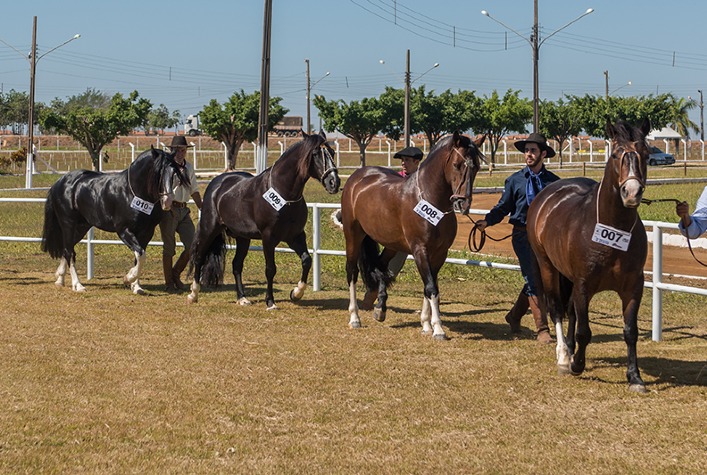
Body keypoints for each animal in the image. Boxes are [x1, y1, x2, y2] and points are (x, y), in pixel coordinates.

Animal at [40, 147, 187, 294]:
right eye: (158, 172)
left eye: (174, 173)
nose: (168, 201)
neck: (131, 191)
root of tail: (59, 182)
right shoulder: (124, 231)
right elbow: (140, 254)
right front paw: (128, 278)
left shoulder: (146, 232)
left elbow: (139, 257)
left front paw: (136, 287)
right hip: (68, 224)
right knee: (70, 252)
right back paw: (78, 285)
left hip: (81, 227)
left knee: (66, 249)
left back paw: (60, 279)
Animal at [187, 130, 342, 308]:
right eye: (315, 154)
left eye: (332, 152)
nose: (334, 182)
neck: (284, 195)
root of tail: (217, 183)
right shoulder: (268, 238)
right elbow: (270, 269)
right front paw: (270, 302)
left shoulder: (295, 236)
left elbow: (307, 260)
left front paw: (296, 293)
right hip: (209, 229)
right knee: (199, 257)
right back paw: (193, 294)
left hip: (242, 238)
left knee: (236, 265)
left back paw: (242, 298)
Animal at [342, 132, 486, 340]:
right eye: (457, 164)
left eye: (477, 167)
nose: (462, 203)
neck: (429, 199)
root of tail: (356, 178)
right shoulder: (420, 250)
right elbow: (431, 288)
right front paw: (438, 329)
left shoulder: (439, 253)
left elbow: (431, 286)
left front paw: (426, 325)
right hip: (353, 235)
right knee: (352, 272)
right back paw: (355, 318)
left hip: (391, 244)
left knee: (381, 266)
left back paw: (380, 309)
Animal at [524, 120, 652, 394]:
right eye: (615, 155)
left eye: (646, 154)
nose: (632, 192)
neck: (612, 229)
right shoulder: (584, 285)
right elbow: (584, 330)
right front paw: (576, 365)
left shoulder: (633, 288)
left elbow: (630, 331)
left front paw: (635, 377)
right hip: (547, 266)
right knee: (557, 308)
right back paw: (564, 356)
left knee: (571, 310)